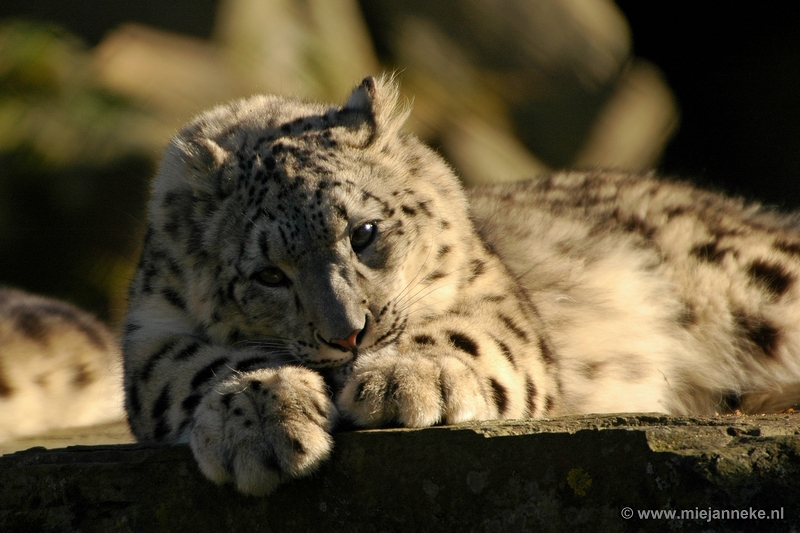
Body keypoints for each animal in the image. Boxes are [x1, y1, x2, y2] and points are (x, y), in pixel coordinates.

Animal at [122, 75, 800, 494]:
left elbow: (475, 335)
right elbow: (192, 367)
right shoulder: (150, 338)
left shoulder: (496, 299)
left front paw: (408, 381)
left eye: (363, 232)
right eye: (268, 274)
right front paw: (261, 423)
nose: (350, 336)